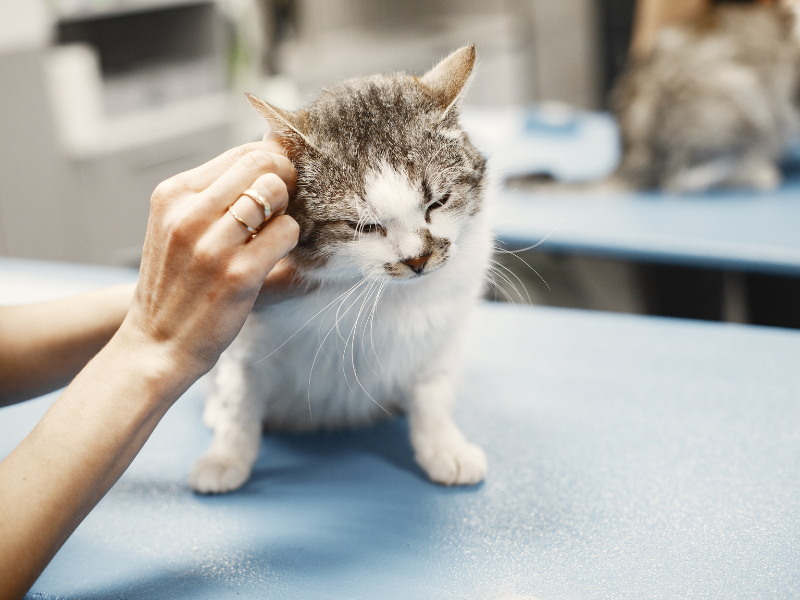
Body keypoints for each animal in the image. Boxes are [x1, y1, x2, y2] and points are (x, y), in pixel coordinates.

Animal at [192, 47, 494, 494]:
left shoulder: (438, 338)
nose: (418, 259)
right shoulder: (245, 339)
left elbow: (433, 394)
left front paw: (444, 446)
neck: (371, 292)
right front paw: (226, 455)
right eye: (364, 227)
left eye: (437, 203)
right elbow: (239, 399)